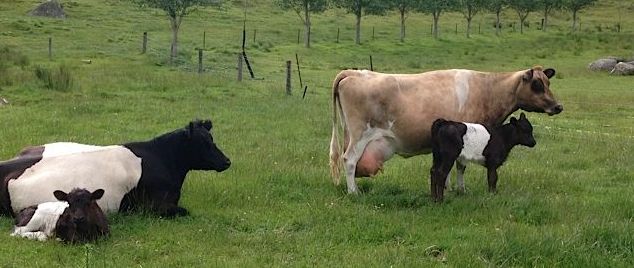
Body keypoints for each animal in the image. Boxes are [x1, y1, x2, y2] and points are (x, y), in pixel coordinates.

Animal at [328, 66, 560, 193]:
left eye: (548, 82)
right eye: (537, 85)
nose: (558, 106)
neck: (487, 90)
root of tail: (355, 73)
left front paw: (448, 187)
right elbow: (461, 166)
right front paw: (460, 189)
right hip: (360, 135)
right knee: (349, 160)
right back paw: (354, 192)